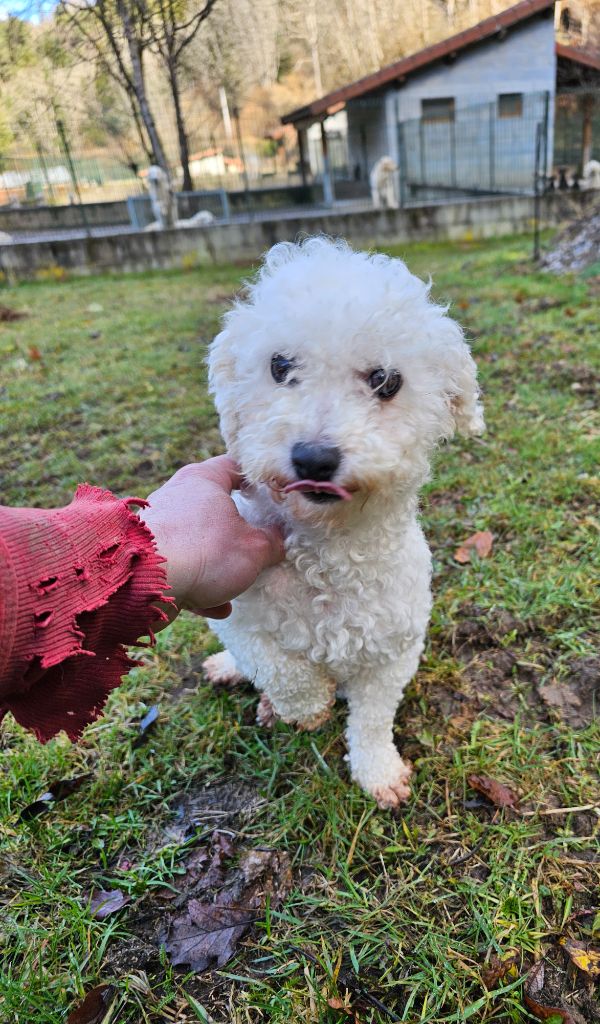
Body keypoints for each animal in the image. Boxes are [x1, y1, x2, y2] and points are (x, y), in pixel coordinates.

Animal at [201, 235, 481, 802]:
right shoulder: (236, 613)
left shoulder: (394, 650)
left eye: (386, 380)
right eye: (280, 365)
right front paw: (306, 708)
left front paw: (379, 773)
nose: (313, 458)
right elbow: (281, 669)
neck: (328, 550)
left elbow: (371, 720)